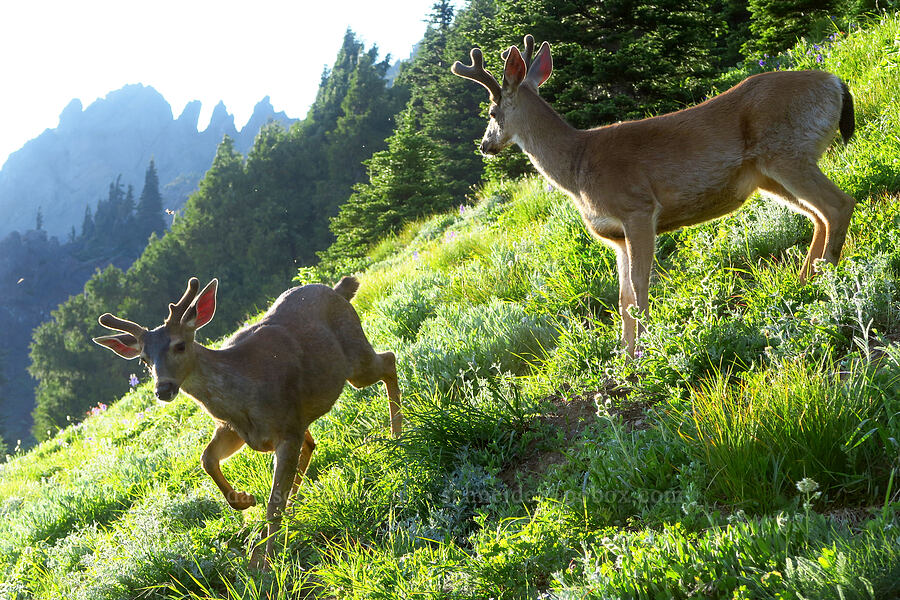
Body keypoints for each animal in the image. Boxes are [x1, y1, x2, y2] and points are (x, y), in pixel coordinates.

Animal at [92, 276, 400, 568]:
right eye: (145, 360)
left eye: (179, 345)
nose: (163, 389)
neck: (243, 394)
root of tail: (337, 291)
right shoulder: (236, 430)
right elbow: (207, 459)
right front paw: (245, 502)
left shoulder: (286, 429)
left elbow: (273, 502)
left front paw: (264, 561)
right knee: (312, 442)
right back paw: (293, 508)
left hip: (355, 358)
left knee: (389, 360)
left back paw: (397, 435)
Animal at [454, 35, 856, 356]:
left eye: (492, 111)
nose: (485, 146)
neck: (576, 167)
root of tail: (836, 81)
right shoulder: (615, 236)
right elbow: (622, 298)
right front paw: (625, 355)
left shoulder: (638, 208)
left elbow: (640, 284)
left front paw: (648, 346)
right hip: (770, 174)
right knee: (818, 215)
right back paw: (805, 283)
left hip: (787, 152)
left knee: (839, 204)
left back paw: (829, 284)